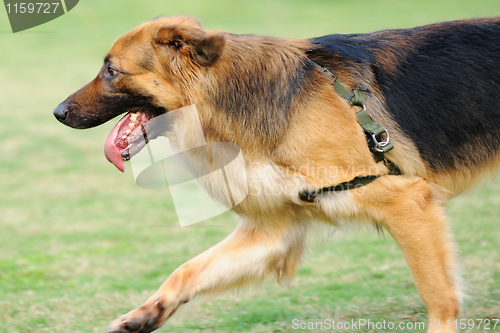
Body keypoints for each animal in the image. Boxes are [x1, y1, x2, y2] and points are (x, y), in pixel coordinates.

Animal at [54, 16, 500, 332]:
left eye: (111, 71)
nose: (58, 112)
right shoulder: (273, 230)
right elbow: (189, 270)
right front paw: (146, 313)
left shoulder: (407, 203)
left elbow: (438, 297)